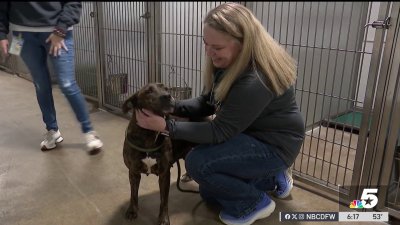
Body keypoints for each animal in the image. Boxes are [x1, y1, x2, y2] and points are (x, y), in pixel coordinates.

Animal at [122, 82, 194, 225]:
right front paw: (132, 210)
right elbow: (133, 194)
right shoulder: (133, 172)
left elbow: (164, 200)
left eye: (166, 88)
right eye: (148, 91)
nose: (167, 96)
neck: (149, 134)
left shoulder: (164, 174)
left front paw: (163, 218)